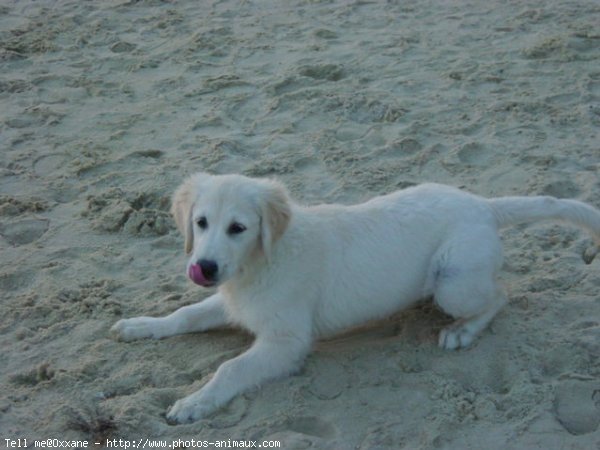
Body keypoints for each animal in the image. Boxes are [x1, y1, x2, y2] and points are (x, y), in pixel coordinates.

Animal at [110, 172, 596, 422]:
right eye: (202, 222)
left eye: (238, 228)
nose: (203, 268)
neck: (263, 259)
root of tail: (484, 205)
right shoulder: (231, 298)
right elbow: (185, 314)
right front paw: (141, 325)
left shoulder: (286, 341)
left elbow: (231, 368)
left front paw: (193, 403)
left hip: (453, 284)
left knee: (500, 295)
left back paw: (462, 331)